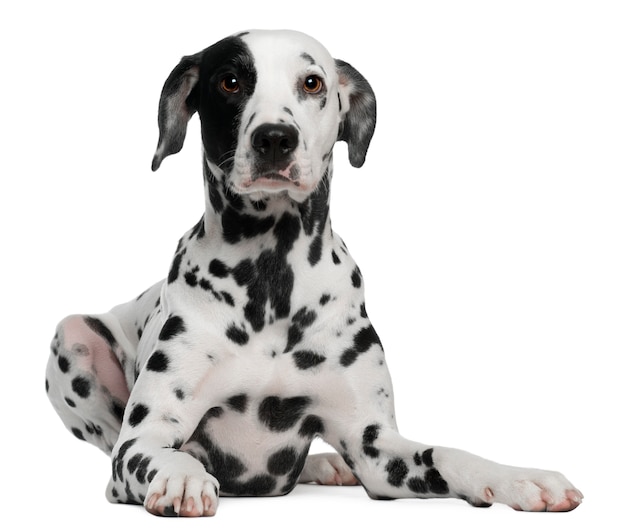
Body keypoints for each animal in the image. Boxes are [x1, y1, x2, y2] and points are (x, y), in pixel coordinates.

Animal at [46, 29, 584, 516]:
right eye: (230, 81)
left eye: (312, 82)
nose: (274, 138)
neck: (272, 279)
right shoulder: (142, 439)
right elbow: (158, 454)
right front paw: (182, 477)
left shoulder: (376, 446)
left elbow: (447, 453)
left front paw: (518, 478)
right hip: (73, 336)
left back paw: (326, 465)